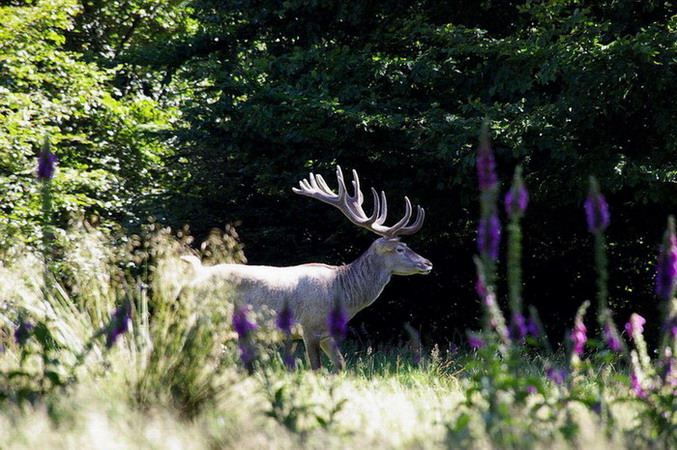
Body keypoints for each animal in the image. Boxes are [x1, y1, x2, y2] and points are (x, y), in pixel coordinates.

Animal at [181, 167, 434, 370]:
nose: (428, 263)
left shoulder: (326, 334)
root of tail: (196, 276)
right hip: (210, 317)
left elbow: (340, 364)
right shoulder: (308, 326)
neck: (342, 295)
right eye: (400, 248)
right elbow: (316, 368)